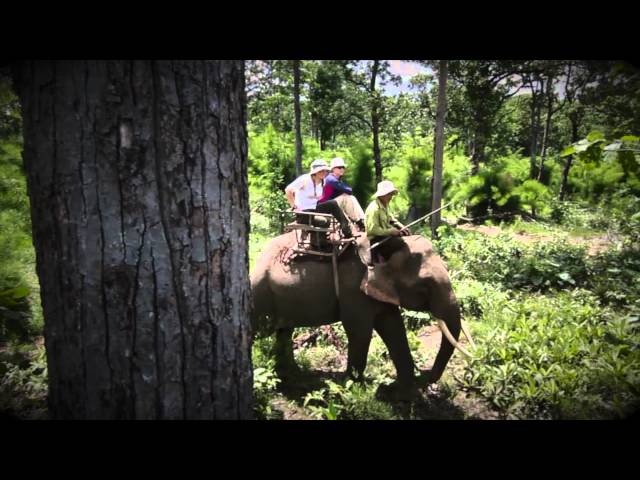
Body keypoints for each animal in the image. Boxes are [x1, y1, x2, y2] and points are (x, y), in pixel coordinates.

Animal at [250, 230, 469, 400]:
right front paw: (354, 389)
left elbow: (394, 328)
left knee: (284, 331)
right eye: (425, 285)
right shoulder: (353, 289)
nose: (426, 376)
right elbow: (361, 332)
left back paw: (292, 374)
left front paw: (404, 392)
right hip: (261, 292)